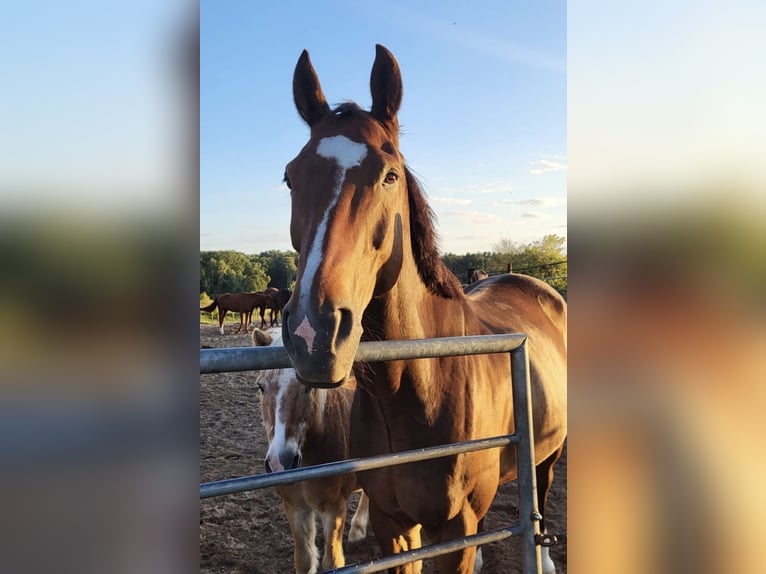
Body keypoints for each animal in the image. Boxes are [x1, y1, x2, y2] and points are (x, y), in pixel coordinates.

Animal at [252, 328, 370, 574]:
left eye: (308, 387)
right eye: (261, 386)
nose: (280, 462)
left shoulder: (334, 509)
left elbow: (332, 561)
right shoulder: (295, 509)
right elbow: (304, 560)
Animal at [279, 45, 567, 574]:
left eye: (389, 175)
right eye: (290, 177)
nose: (314, 331)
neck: (423, 383)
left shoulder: (454, 531)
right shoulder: (393, 525)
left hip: (550, 453)